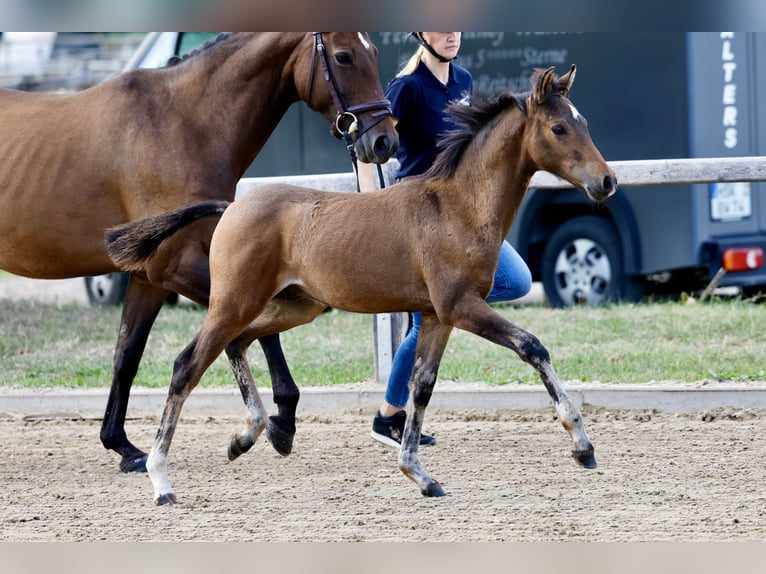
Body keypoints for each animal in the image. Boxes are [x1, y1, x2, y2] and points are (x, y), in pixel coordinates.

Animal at [0, 32, 397, 473]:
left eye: (374, 52)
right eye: (343, 57)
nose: (384, 140)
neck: (180, 125)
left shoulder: (148, 278)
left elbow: (127, 355)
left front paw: (122, 446)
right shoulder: (182, 268)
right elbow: (254, 332)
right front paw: (281, 420)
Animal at [105, 65, 616, 505]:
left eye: (585, 122)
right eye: (559, 128)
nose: (607, 181)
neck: (458, 207)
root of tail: (230, 207)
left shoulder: (435, 315)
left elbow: (421, 386)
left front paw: (420, 475)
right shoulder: (462, 306)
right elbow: (532, 346)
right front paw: (582, 445)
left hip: (293, 305)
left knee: (239, 344)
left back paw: (247, 436)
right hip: (234, 301)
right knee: (187, 365)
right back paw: (161, 479)